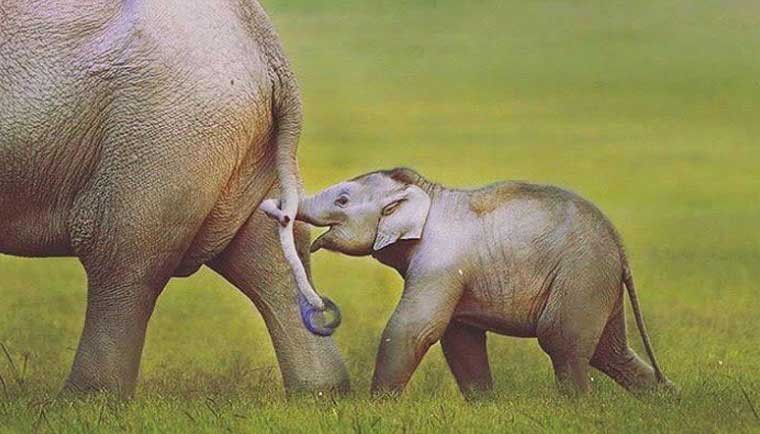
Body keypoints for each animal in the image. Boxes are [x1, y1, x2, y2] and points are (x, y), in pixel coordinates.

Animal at [0, 0, 348, 396]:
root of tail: (266, 46)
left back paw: (83, 399)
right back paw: (321, 393)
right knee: (267, 255)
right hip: (238, 141)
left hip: (161, 132)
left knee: (122, 255)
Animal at [262, 169, 676, 396]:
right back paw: (668, 400)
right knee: (609, 351)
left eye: (343, 200)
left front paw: (376, 404)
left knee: (563, 343)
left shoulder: (438, 262)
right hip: (597, 282)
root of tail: (620, 247)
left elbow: (416, 329)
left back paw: (575, 407)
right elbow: (459, 337)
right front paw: (484, 403)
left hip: (580, 276)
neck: (427, 193)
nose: (271, 205)